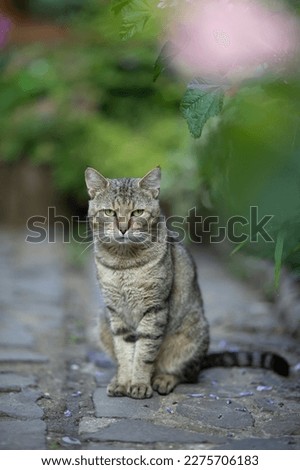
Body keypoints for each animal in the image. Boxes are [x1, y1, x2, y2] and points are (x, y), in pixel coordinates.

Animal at [84, 167, 288, 398]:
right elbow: (125, 352)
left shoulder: (155, 308)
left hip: (193, 333)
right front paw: (124, 381)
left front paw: (139, 384)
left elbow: (144, 353)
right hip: (102, 322)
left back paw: (163, 379)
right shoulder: (116, 312)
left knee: (186, 373)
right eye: (109, 212)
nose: (123, 228)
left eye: (137, 213)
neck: (124, 262)